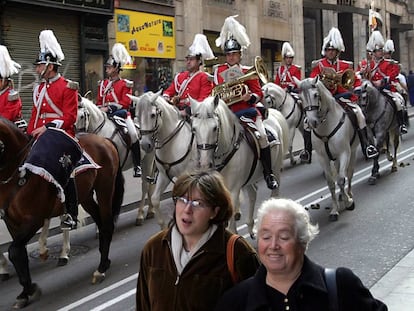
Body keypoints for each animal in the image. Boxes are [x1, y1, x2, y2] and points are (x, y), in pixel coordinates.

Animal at [0, 117, 124, 310]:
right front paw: (25, 292)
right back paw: (104, 261)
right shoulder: (12, 223)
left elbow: (14, 251)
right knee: (101, 224)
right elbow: (18, 254)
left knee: (107, 225)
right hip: (86, 197)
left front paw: (29, 289)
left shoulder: (33, 220)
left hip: (105, 188)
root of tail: (104, 140)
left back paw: (101, 269)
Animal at [132, 90, 198, 229]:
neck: (172, 143)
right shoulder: (164, 175)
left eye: (152, 115)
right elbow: (156, 199)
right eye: (137, 116)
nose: (145, 145)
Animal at [190, 95, 288, 236]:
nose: (204, 164)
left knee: (274, 193)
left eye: (214, 128)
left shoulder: (234, 190)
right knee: (253, 194)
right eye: (194, 129)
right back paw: (250, 226)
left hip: (275, 169)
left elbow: (231, 226)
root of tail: (274, 115)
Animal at [298, 76, 356, 221]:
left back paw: (349, 194)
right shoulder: (322, 158)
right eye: (301, 98)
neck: (326, 128)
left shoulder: (344, 153)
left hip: (353, 151)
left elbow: (341, 179)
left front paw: (349, 202)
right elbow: (331, 183)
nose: (312, 122)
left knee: (349, 174)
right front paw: (334, 210)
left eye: (315, 95)